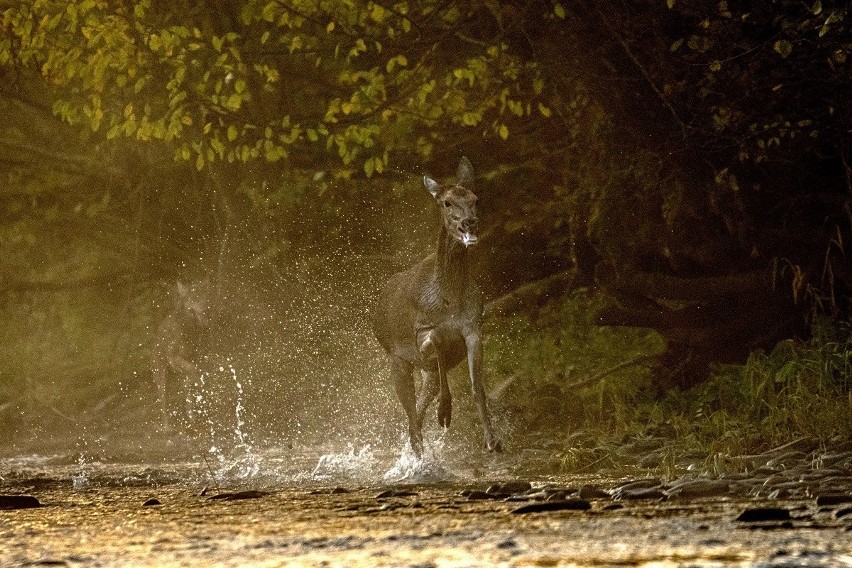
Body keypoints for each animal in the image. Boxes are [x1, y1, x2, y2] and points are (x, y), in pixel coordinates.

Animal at [151, 280, 211, 426]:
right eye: (193, 299)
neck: (187, 326)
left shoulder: (195, 356)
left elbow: (194, 372)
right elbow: (193, 370)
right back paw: (167, 426)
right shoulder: (173, 358)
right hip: (160, 375)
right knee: (163, 402)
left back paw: (190, 415)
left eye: (204, 296)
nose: (204, 309)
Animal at [372, 156, 500, 458]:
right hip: (396, 358)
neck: (449, 298)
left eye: (475, 199)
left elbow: (477, 387)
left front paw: (492, 440)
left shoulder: (473, 327)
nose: (469, 222)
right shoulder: (423, 332)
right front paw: (445, 412)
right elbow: (440, 346)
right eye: (446, 202)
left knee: (415, 417)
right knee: (410, 414)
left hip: (421, 371)